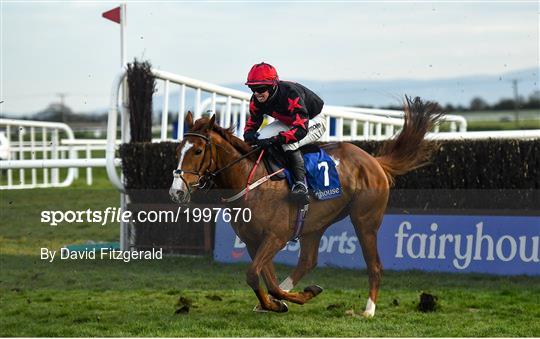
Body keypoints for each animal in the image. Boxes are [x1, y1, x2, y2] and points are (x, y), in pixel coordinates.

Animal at [170, 96, 442, 318]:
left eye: (198, 150)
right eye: (177, 150)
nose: (177, 191)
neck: (251, 179)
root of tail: (375, 161)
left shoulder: (276, 236)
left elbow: (255, 276)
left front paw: (297, 297)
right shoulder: (252, 241)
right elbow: (266, 280)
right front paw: (277, 303)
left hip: (365, 221)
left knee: (374, 265)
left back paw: (368, 310)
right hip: (314, 224)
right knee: (308, 261)